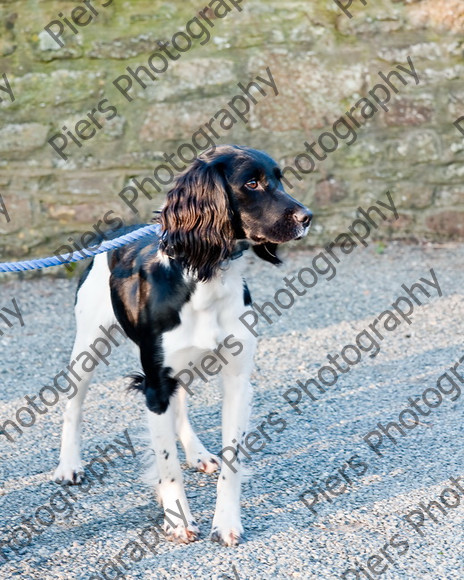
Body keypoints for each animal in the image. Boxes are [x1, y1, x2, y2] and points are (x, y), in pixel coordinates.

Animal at [53, 144, 312, 544]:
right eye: (251, 183)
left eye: (279, 179)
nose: (307, 217)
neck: (207, 277)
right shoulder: (156, 386)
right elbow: (167, 464)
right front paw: (177, 519)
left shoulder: (236, 383)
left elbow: (231, 462)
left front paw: (226, 523)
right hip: (88, 345)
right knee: (74, 405)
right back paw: (69, 465)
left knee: (182, 409)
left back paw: (197, 452)